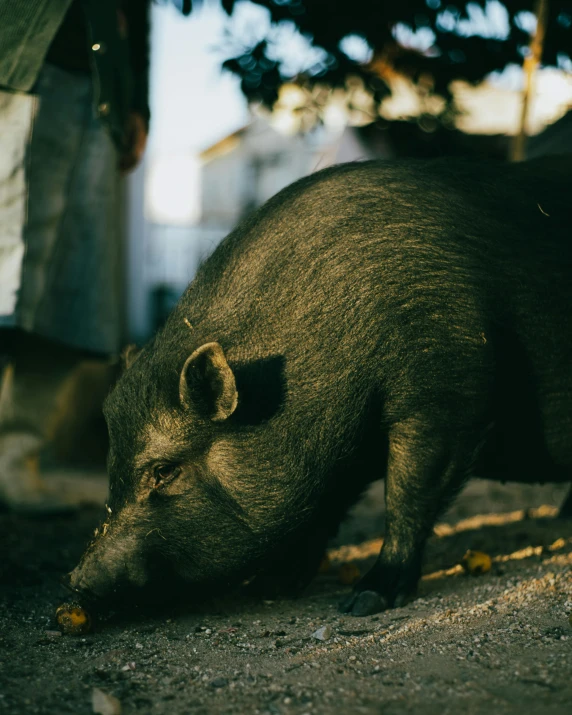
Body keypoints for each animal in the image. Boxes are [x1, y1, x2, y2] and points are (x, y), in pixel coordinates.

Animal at [69, 157, 572, 616]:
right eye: (112, 462)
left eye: (164, 470)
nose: (75, 579)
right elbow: (325, 510)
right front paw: (269, 587)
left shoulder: (448, 396)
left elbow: (408, 495)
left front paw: (363, 601)